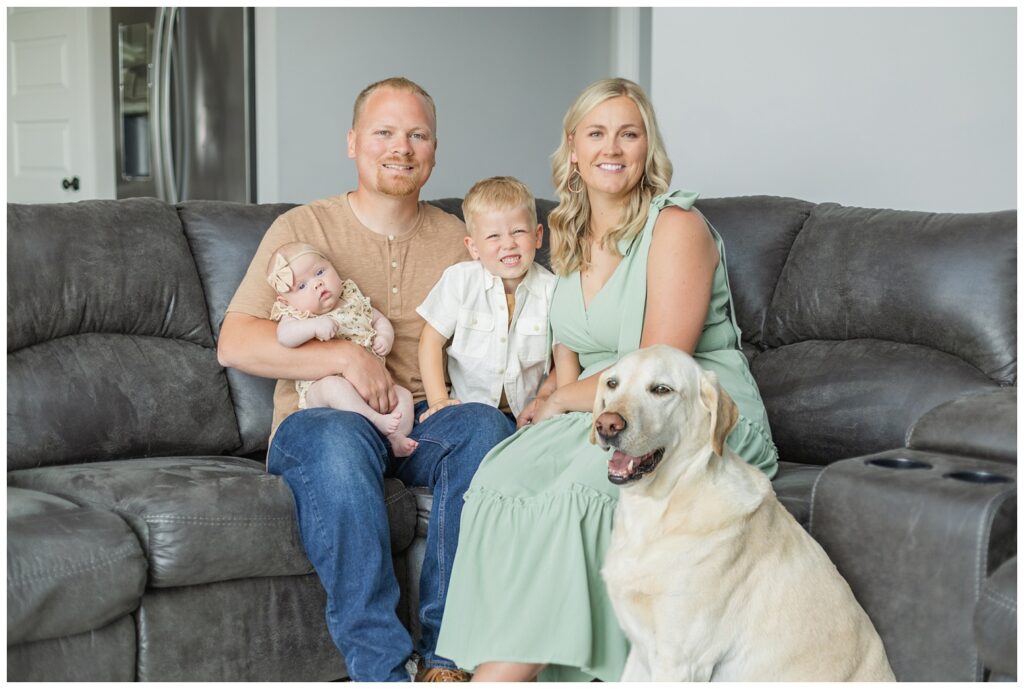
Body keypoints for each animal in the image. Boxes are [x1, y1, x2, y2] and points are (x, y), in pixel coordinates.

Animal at [598, 346, 892, 679]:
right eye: (612, 384)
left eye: (662, 390)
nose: (606, 424)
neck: (660, 505)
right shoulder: (640, 651)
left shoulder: (680, 660)